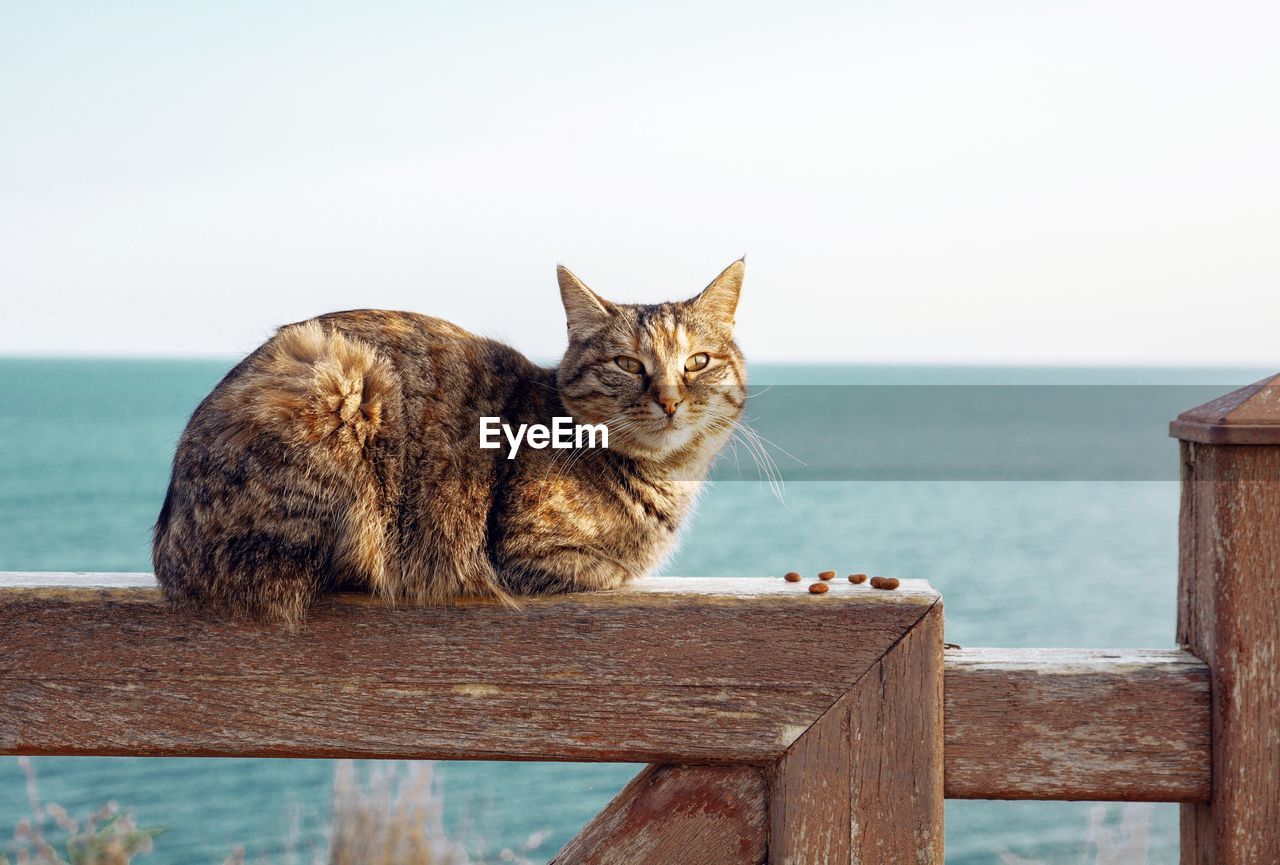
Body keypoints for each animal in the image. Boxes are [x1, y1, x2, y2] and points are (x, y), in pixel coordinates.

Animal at [153, 259, 747, 624]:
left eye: (698, 362)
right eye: (627, 364)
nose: (669, 399)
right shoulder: (526, 551)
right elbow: (611, 570)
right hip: (337, 384)